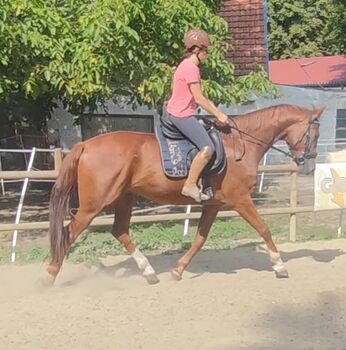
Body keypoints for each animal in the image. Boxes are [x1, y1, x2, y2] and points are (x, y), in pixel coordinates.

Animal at [45, 103, 324, 284]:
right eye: (314, 134)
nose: (309, 165)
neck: (239, 145)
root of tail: (85, 144)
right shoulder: (240, 200)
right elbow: (264, 229)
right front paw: (279, 266)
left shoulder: (213, 204)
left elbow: (200, 238)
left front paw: (178, 270)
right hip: (93, 205)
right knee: (68, 233)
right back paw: (50, 275)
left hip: (124, 198)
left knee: (119, 231)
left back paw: (149, 273)